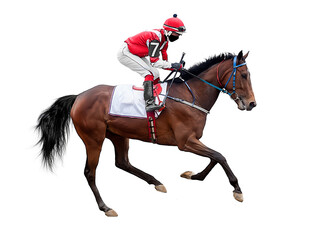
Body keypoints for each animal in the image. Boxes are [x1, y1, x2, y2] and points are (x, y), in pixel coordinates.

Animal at [36, 49, 254, 217]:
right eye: (244, 75)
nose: (252, 103)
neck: (191, 96)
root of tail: (79, 96)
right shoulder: (185, 142)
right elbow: (219, 156)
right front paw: (237, 189)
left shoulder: (193, 140)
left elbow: (215, 157)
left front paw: (194, 176)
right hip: (93, 139)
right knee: (90, 172)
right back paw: (105, 207)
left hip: (118, 135)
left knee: (122, 162)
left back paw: (156, 182)